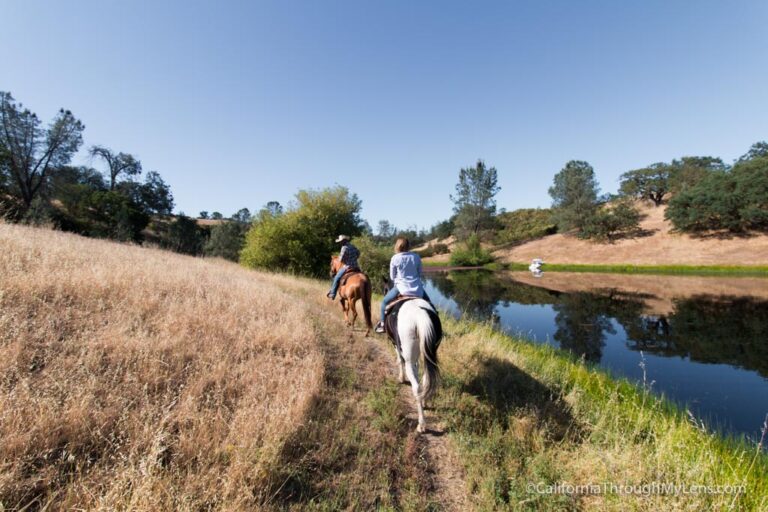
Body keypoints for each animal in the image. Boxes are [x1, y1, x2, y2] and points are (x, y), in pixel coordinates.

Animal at [388, 296, 440, 432]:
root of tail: (420, 314)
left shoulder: (396, 345)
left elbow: (399, 360)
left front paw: (401, 378)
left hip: (408, 355)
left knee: (417, 387)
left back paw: (421, 424)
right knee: (426, 380)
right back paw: (424, 401)